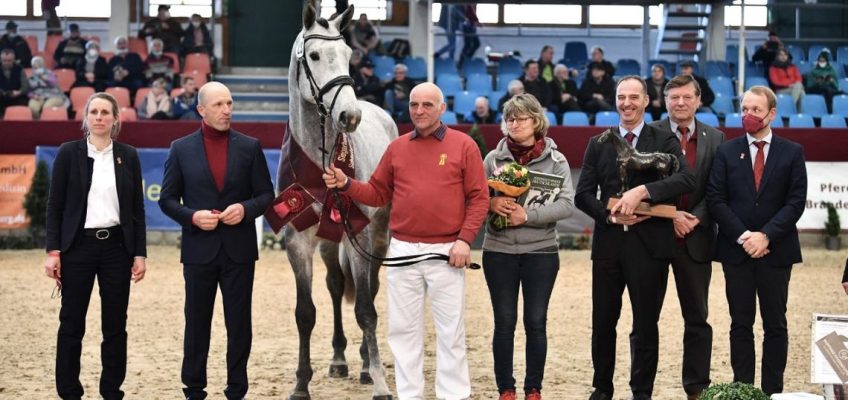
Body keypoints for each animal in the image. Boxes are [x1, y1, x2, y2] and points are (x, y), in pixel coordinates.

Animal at [280, 1, 396, 398]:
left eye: (348, 55)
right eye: (314, 55)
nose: (350, 115)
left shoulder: (358, 234)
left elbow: (366, 310)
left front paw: (378, 381)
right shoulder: (298, 241)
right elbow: (305, 313)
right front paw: (301, 383)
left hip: (378, 234)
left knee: (371, 290)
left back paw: (363, 365)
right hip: (330, 241)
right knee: (333, 286)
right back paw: (339, 358)